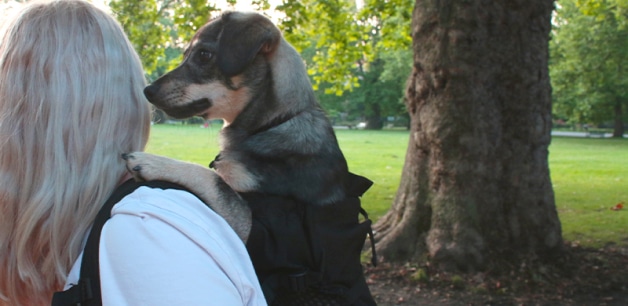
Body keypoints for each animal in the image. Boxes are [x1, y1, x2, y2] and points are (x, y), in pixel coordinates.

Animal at [125, 11, 376, 304]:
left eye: (204, 55)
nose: (148, 91)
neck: (272, 123)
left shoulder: (246, 225)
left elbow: (210, 177)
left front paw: (153, 161)